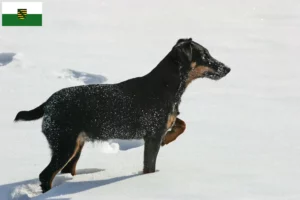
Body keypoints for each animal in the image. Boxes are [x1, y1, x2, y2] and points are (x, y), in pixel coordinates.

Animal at [14, 38, 231, 193]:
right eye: (204, 55)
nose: (228, 68)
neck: (167, 86)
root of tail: (48, 103)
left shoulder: (164, 124)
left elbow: (182, 123)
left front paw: (169, 138)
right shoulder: (152, 135)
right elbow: (149, 166)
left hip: (76, 144)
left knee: (66, 170)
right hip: (64, 144)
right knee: (45, 175)